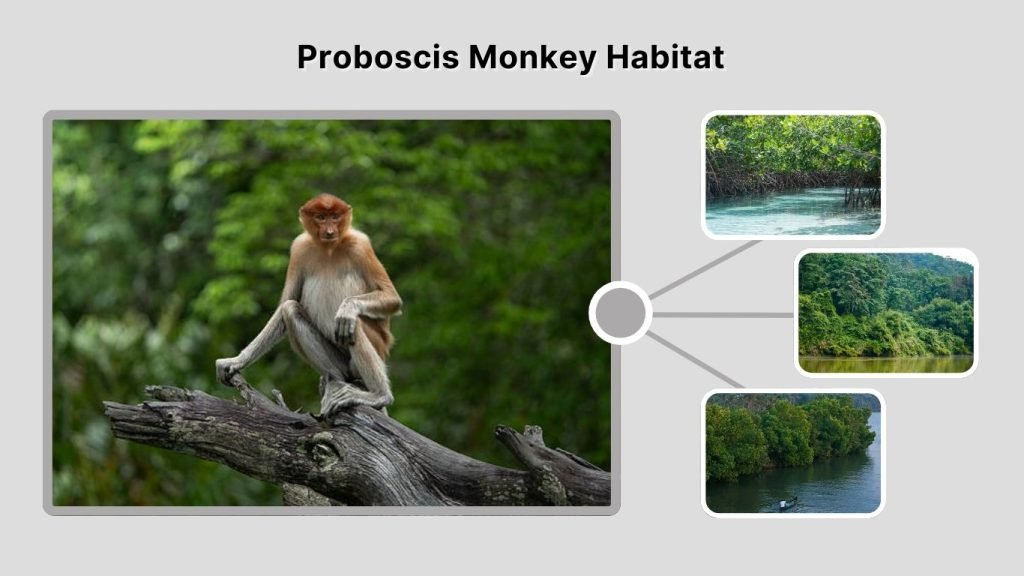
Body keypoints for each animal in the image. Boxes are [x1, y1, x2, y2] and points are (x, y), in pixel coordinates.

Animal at [215, 193, 402, 417]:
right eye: (321, 217)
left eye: (335, 217)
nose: (330, 231)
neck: (329, 249)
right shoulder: (299, 249)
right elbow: (285, 303)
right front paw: (235, 361)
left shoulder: (361, 245)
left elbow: (391, 297)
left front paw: (347, 308)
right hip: (342, 362)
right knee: (291, 309)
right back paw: (335, 381)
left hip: (378, 346)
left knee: (352, 324)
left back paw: (379, 395)